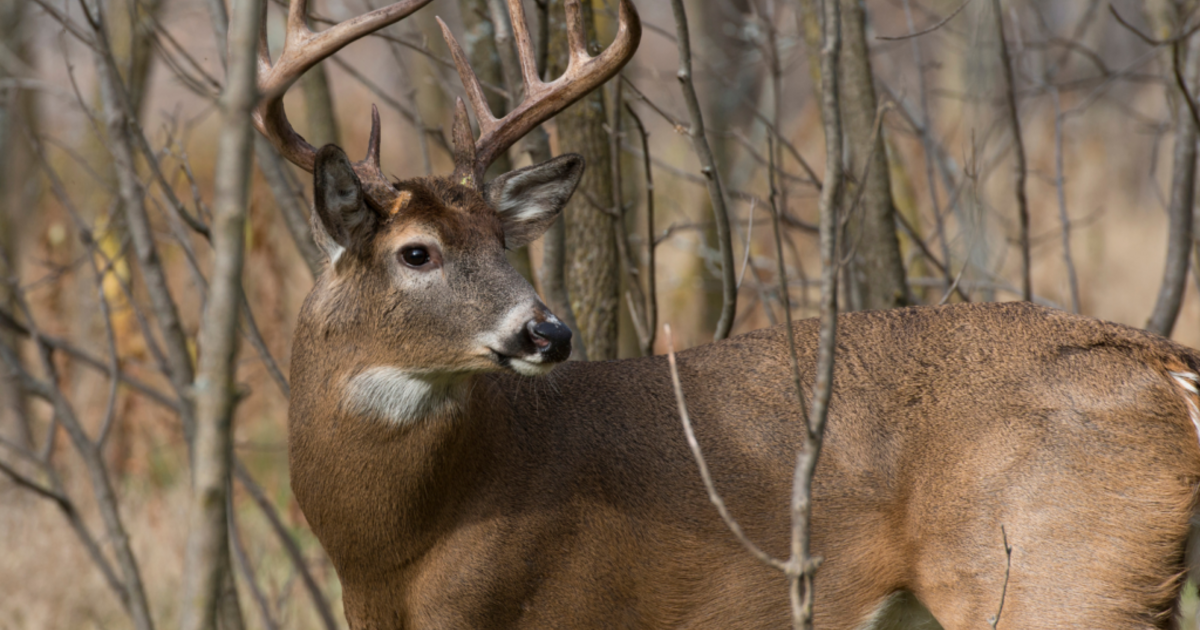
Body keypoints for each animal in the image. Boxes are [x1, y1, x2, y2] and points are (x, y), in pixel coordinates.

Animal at [251, 0, 1200, 627]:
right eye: (417, 252)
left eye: (503, 240)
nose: (547, 332)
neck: (393, 555)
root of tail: (1166, 366)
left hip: (1057, 578)